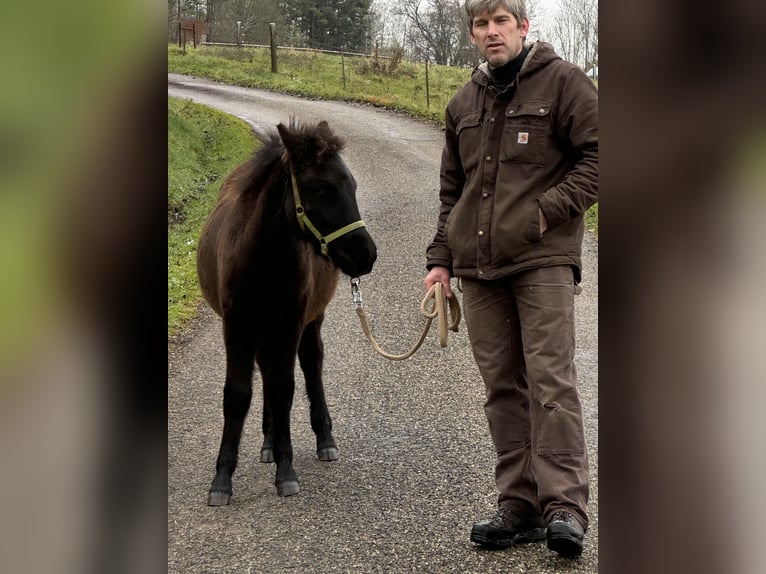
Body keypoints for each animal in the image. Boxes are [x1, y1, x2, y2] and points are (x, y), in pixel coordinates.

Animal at [198, 121, 378, 504]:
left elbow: (284, 389)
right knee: (266, 372)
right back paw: (267, 442)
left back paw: (323, 439)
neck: (263, 259)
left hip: (308, 323)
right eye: (322, 188)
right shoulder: (236, 326)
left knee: (311, 364)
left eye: (353, 186)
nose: (365, 255)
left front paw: (286, 471)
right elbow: (238, 394)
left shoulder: (290, 323)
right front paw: (222, 479)